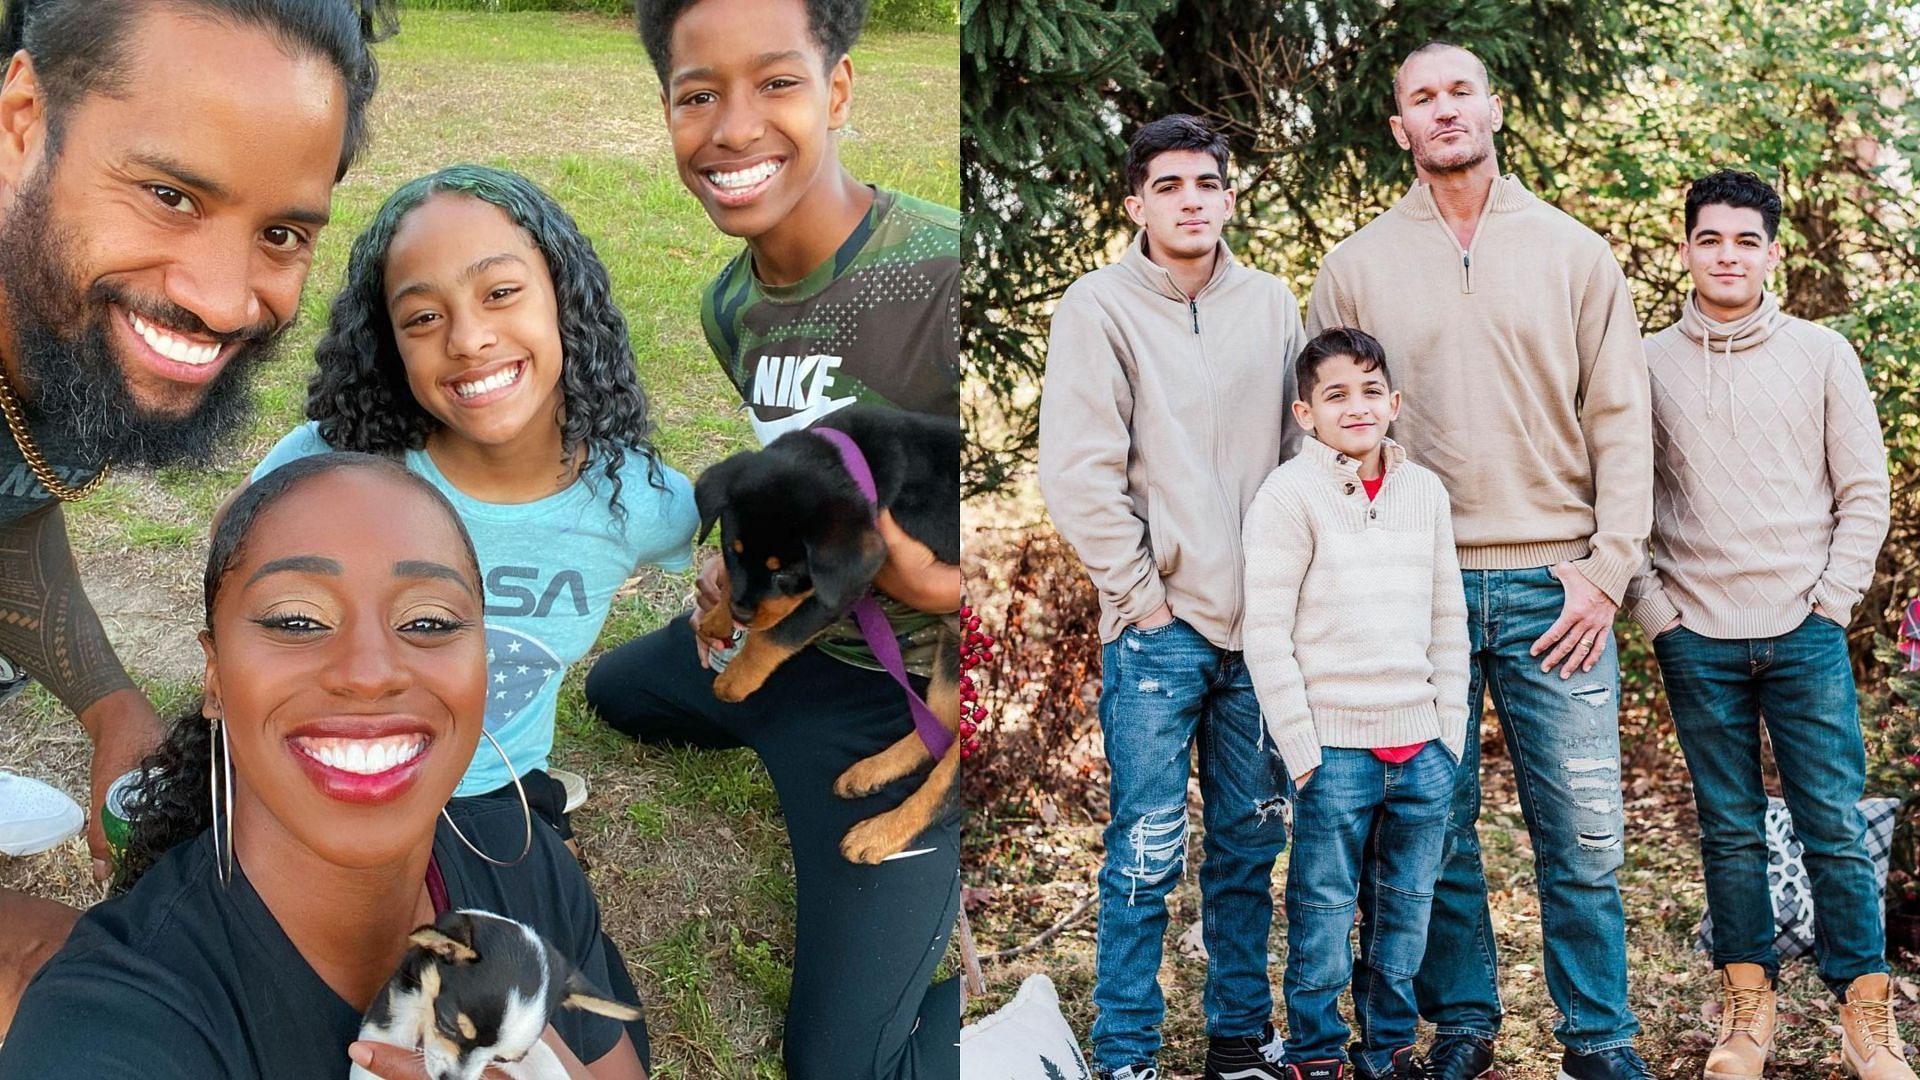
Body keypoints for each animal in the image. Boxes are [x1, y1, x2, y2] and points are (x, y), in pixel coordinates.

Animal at [695, 399, 956, 860]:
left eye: (786, 574)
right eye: (731, 549)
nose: (741, 614)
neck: (858, 459)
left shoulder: (849, 581)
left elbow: (782, 631)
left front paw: (735, 681)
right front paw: (717, 615)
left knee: (949, 778)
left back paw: (877, 834)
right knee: (941, 720)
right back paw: (869, 772)